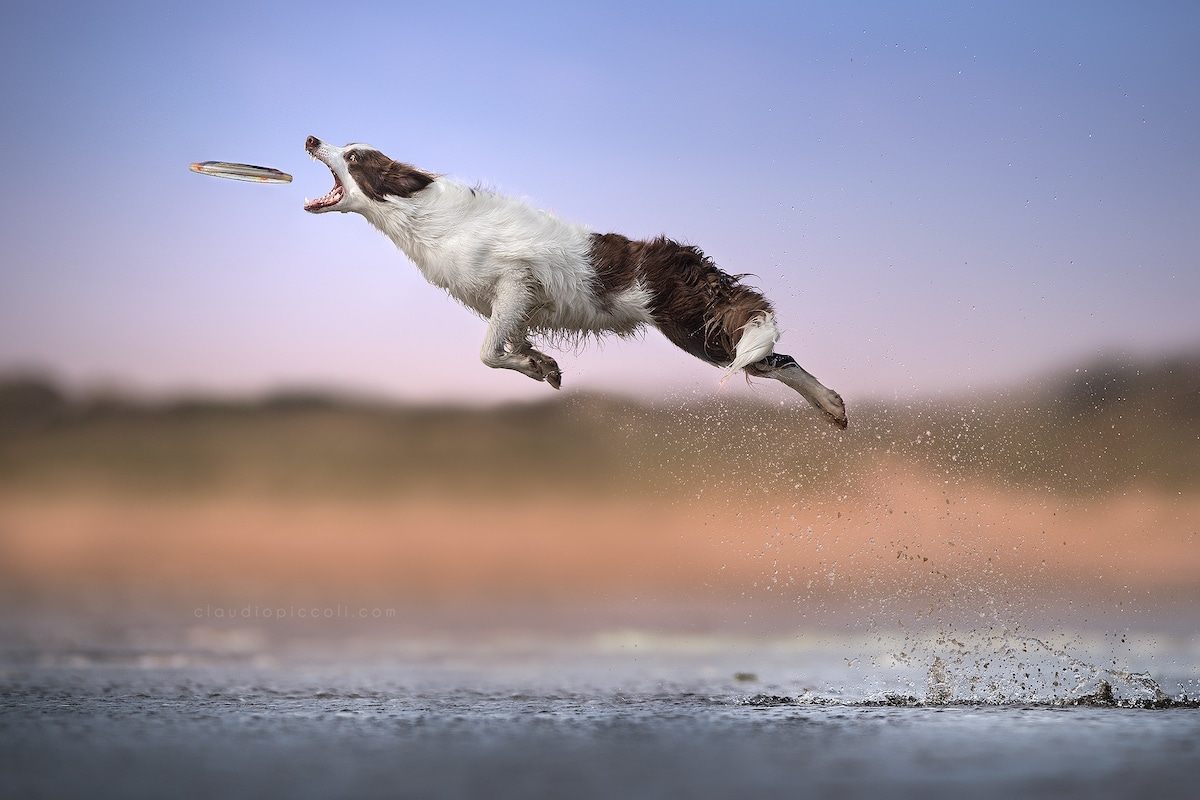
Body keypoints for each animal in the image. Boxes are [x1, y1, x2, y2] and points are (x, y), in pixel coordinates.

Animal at [302, 134, 844, 429]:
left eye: (353, 156)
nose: (309, 139)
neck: (421, 214)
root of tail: (686, 256)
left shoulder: (514, 282)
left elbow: (487, 352)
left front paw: (532, 364)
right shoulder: (513, 303)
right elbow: (511, 343)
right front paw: (541, 364)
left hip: (695, 331)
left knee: (779, 358)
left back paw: (832, 404)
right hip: (703, 333)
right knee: (775, 360)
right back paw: (833, 408)